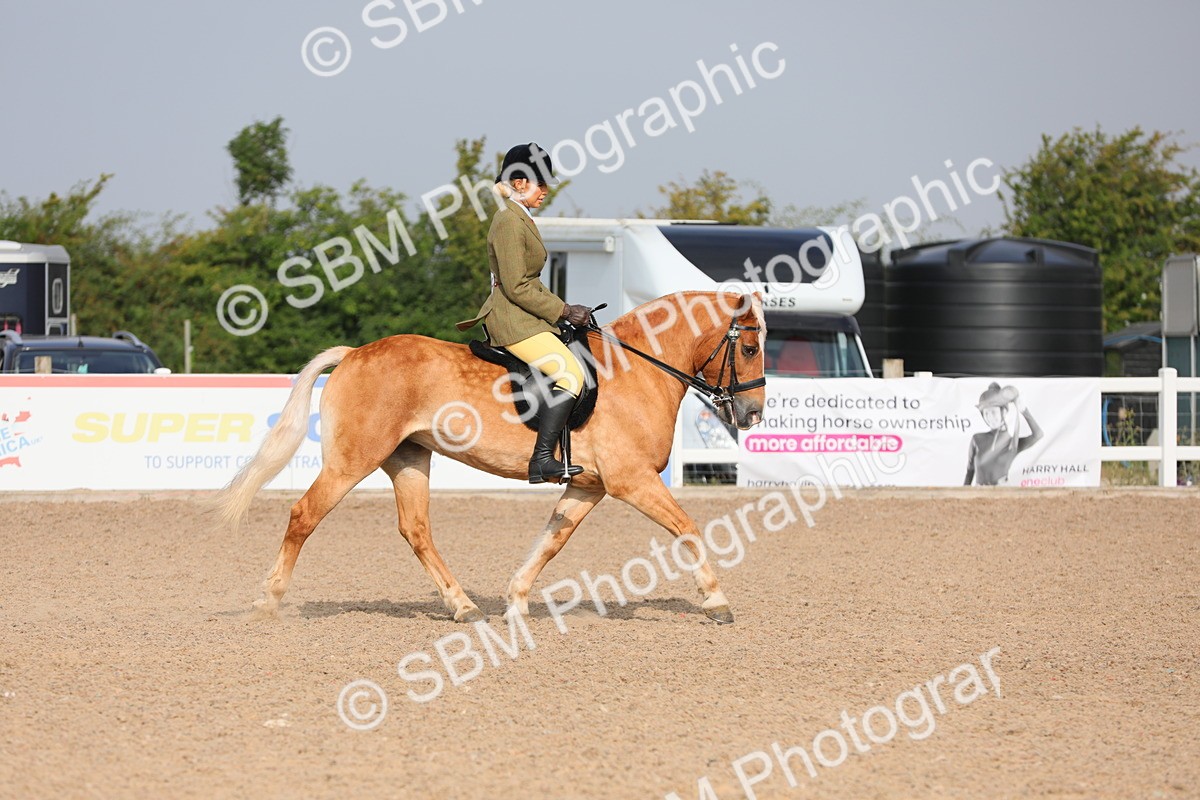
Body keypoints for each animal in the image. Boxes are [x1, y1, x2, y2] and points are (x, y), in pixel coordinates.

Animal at [217, 290, 767, 624]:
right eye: (750, 348)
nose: (753, 413)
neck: (637, 371)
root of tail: (353, 355)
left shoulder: (588, 485)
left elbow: (551, 542)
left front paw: (516, 599)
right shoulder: (632, 481)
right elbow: (687, 527)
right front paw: (717, 600)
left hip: (409, 458)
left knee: (416, 530)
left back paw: (462, 606)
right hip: (353, 460)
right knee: (303, 515)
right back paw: (268, 601)